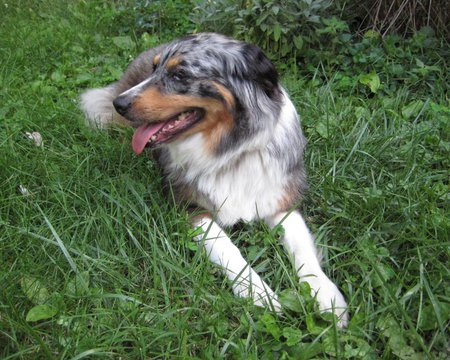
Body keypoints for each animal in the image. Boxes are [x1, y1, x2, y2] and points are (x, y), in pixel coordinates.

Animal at [81, 33, 348, 326]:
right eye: (155, 69)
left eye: (179, 74)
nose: (120, 103)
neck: (230, 151)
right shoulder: (189, 207)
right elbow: (226, 247)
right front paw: (258, 292)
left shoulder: (281, 200)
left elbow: (302, 246)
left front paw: (326, 295)